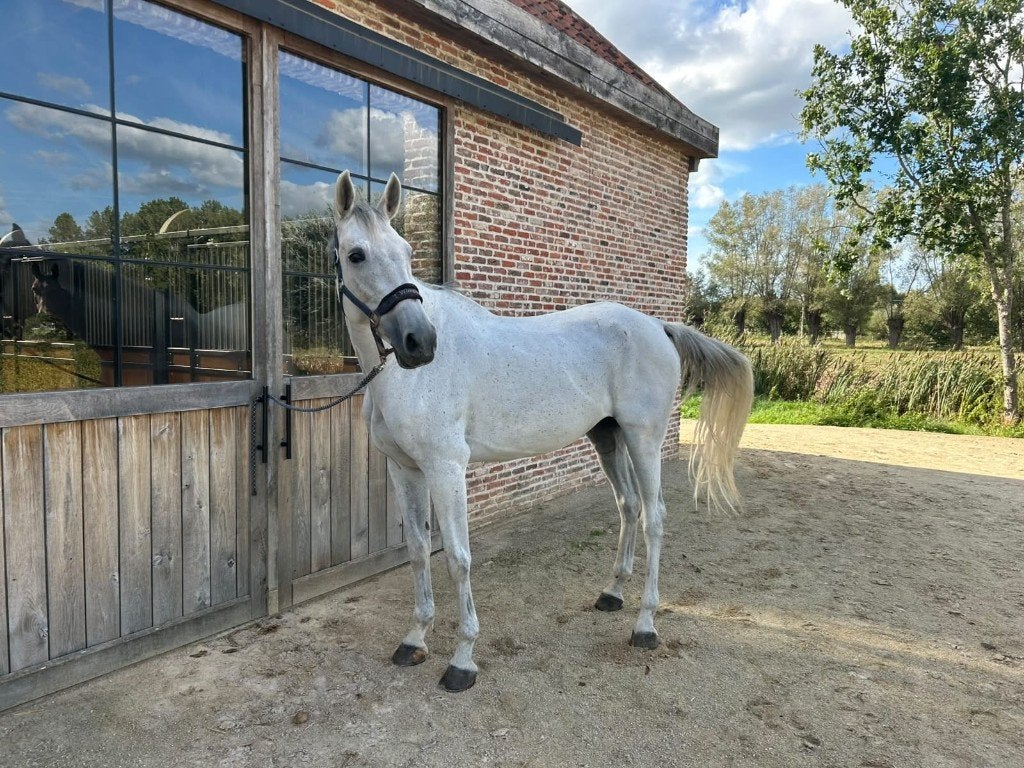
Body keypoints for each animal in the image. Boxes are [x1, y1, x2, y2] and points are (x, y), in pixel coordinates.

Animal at [331, 170, 754, 692]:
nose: (420, 342)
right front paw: (414, 639)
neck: (405, 379)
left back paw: (645, 624)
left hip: (644, 438)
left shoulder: (445, 469)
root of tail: (657, 325)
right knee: (629, 506)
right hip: (607, 437)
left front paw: (463, 659)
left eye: (408, 252)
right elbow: (418, 551)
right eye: (356, 254)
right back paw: (612, 593)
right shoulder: (404, 469)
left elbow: (458, 557)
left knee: (654, 517)